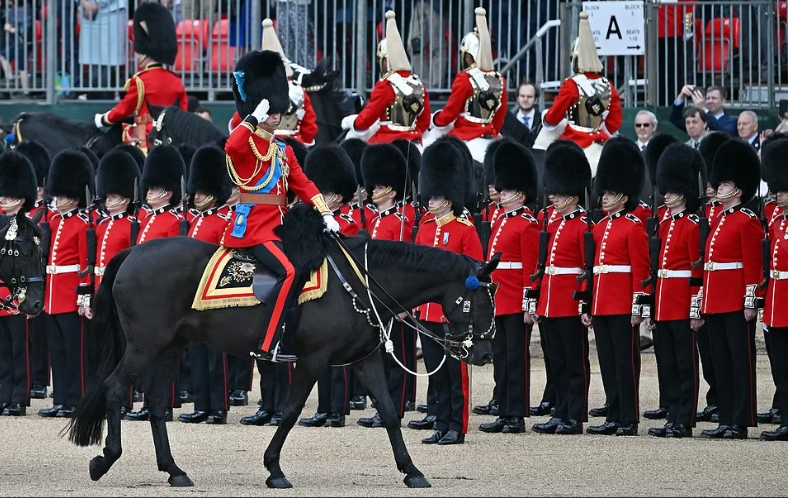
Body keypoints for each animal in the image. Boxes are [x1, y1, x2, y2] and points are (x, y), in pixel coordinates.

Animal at [67, 204, 498, 488]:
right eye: (480, 300)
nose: (482, 354)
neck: (360, 284)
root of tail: (133, 253)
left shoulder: (365, 359)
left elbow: (390, 413)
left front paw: (412, 471)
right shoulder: (313, 359)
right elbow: (290, 412)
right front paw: (274, 469)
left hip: (172, 346)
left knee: (157, 404)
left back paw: (174, 471)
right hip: (145, 344)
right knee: (115, 388)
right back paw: (105, 460)